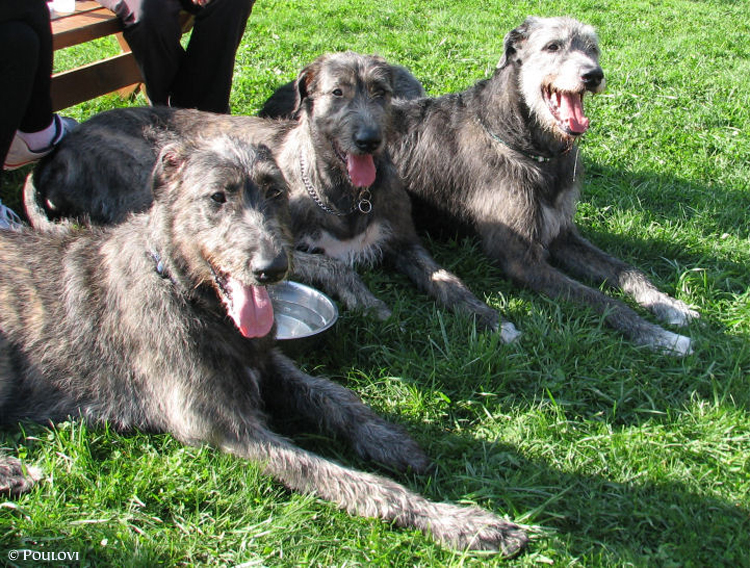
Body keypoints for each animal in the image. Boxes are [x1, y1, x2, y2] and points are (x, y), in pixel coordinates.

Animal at [1, 136, 528, 556]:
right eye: (217, 197)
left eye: (275, 192)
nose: (273, 269)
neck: (184, 289)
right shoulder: (224, 424)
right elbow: (348, 480)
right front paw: (459, 522)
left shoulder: (267, 361)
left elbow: (337, 398)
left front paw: (391, 440)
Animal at [30, 51, 524, 340]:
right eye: (337, 92)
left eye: (381, 92)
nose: (368, 141)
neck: (345, 195)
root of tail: (59, 150)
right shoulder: (280, 252)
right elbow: (334, 265)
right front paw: (369, 301)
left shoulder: (404, 241)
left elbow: (447, 279)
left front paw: (489, 317)